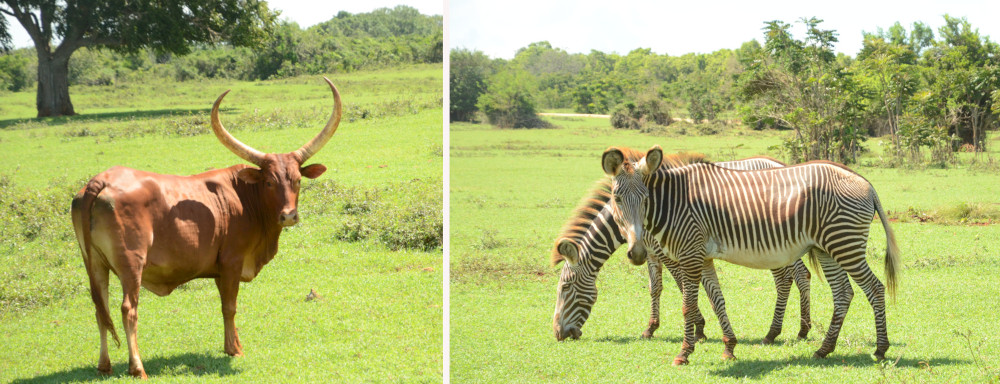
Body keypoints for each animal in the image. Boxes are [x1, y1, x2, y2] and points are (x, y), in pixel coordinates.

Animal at [70, 78, 344, 378]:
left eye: (297, 180)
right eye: (269, 181)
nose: (289, 216)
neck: (245, 196)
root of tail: (100, 180)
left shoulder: (218, 269)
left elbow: (224, 305)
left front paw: (233, 344)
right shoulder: (232, 262)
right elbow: (230, 306)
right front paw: (234, 350)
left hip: (95, 264)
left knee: (101, 309)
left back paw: (104, 365)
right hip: (132, 264)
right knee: (128, 309)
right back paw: (137, 367)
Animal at [552, 157, 816, 352]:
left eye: (565, 287)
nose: (557, 334)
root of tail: (780, 163)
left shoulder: (670, 251)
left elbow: (681, 285)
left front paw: (699, 328)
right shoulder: (651, 252)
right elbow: (655, 288)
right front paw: (651, 328)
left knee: (785, 279)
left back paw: (774, 333)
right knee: (802, 275)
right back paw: (802, 329)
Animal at [596, 146, 904, 364]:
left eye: (646, 199)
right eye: (617, 199)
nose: (637, 253)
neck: (674, 204)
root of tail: (865, 182)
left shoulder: (690, 254)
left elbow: (688, 305)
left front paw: (684, 353)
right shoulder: (703, 256)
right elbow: (717, 300)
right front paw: (729, 348)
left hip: (845, 244)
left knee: (874, 288)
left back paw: (880, 349)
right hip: (827, 248)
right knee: (843, 293)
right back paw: (824, 349)